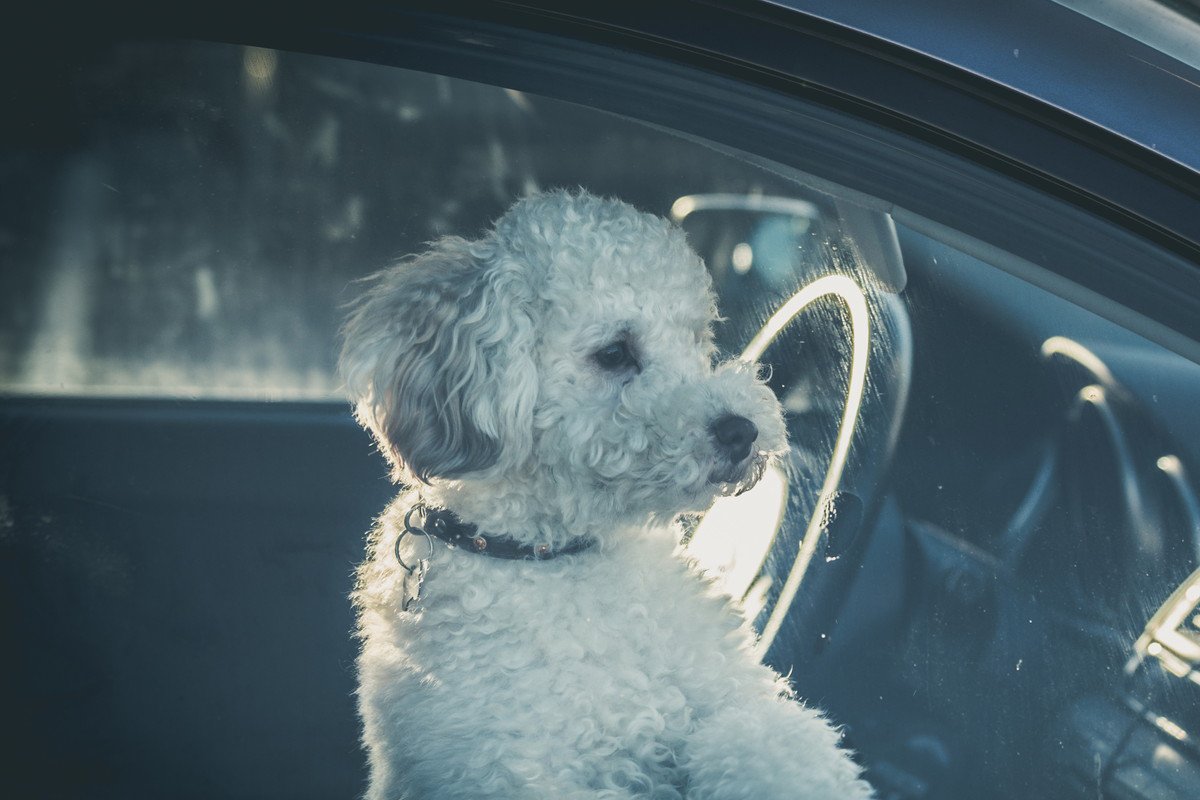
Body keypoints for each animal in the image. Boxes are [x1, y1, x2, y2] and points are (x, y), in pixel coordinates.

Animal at [338, 190, 873, 796]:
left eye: (696, 337)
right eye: (615, 353)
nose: (741, 430)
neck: (558, 557)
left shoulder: (730, 702)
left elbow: (770, 740)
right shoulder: (510, 772)